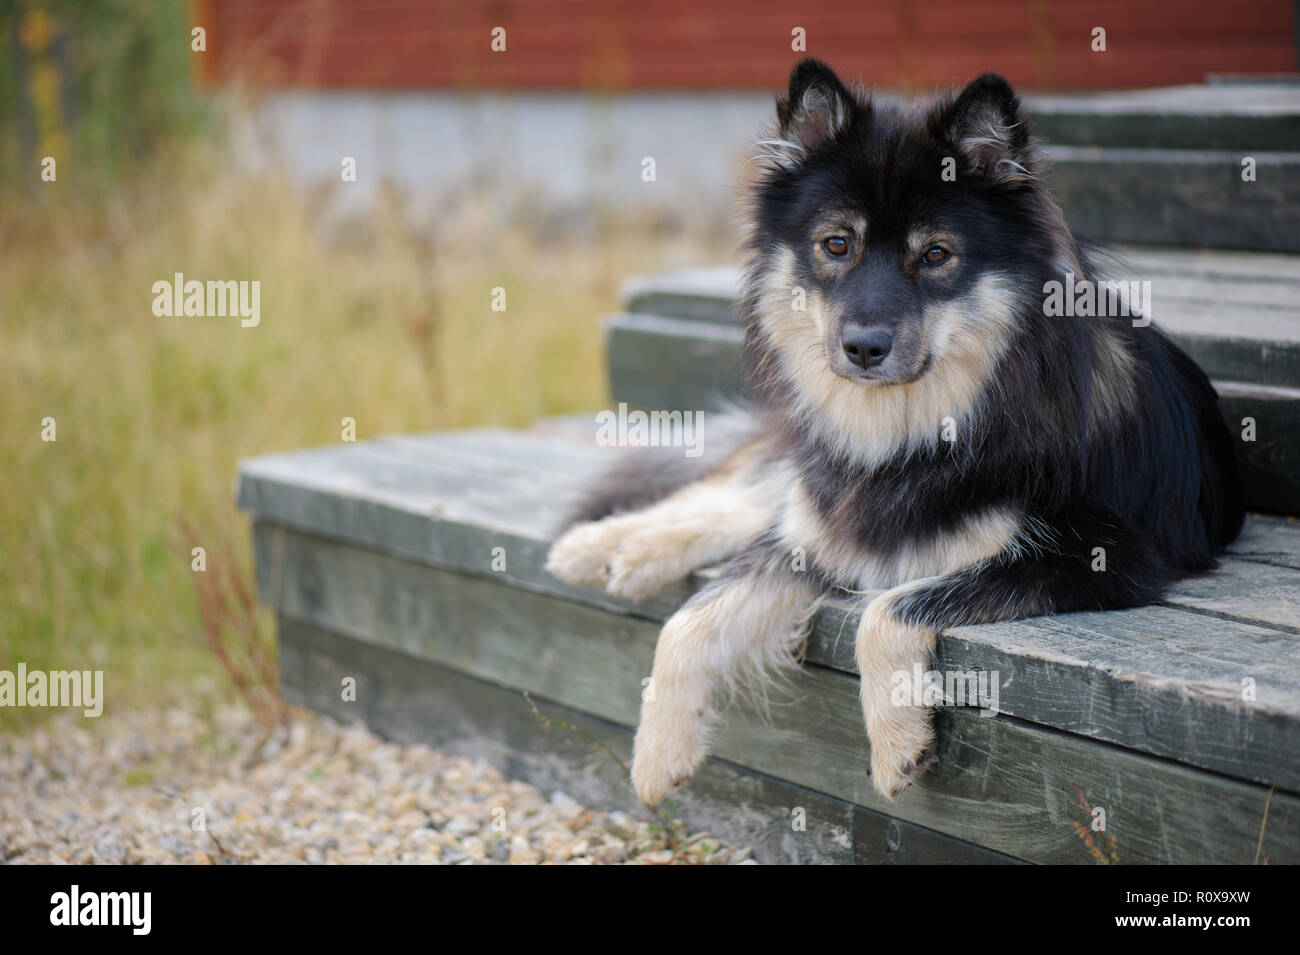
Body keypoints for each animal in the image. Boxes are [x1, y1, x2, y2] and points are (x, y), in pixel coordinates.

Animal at [543, 59, 1242, 805]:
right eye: (836, 244)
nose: (862, 348)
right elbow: (692, 617)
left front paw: (897, 742)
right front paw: (658, 750)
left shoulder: (1103, 554)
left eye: (935, 254)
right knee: (732, 494)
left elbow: (888, 608)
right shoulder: (825, 532)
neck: (920, 428)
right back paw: (605, 545)